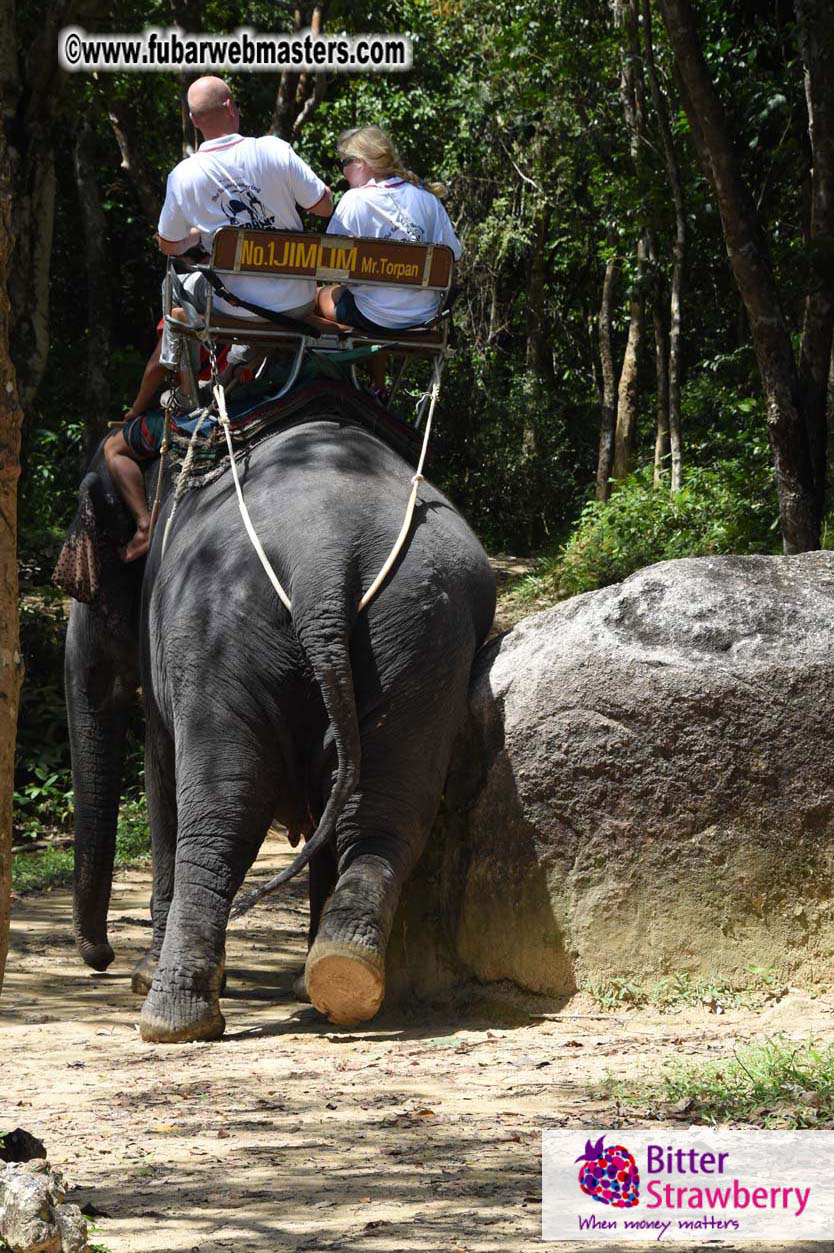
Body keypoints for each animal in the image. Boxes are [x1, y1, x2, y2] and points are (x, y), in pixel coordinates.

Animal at [57, 393, 496, 1043]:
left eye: (92, 589)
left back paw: (172, 1019)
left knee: (222, 811)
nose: (102, 958)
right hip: (423, 629)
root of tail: (326, 556)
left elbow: (160, 772)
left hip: (223, 628)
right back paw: (341, 974)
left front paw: (142, 975)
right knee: (387, 807)